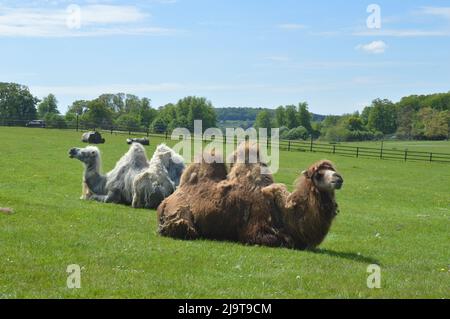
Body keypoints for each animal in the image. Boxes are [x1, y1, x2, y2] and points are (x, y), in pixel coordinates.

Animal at [156, 144, 342, 251]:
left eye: (332, 170)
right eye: (318, 175)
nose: (339, 178)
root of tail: (164, 202)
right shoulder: (254, 229)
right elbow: (279, 240)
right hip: (180, 215)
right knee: (184, 228)